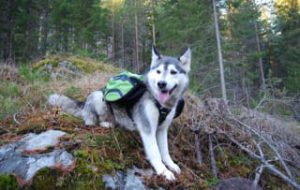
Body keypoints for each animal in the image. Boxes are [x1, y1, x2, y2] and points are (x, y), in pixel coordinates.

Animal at [48, 46, 191, 180]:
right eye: (158, 71)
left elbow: (165, 151)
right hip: (99, 98)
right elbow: (155, 152)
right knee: (93, 121)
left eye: (173, 72)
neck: (160, 103)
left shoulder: (162, 129)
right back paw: (106, 124)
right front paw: (163, 171)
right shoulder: (147, 128)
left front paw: (170, 164)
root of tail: (84, 103)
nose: (161, 84)